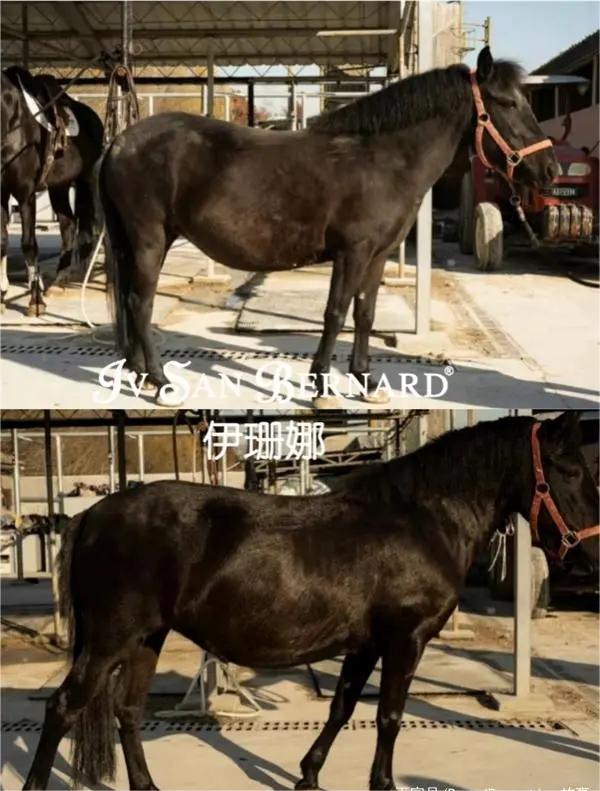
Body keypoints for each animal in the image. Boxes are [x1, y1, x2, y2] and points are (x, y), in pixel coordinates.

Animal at [1, 66, 104, 315]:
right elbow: (2, 241)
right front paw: (1, 297)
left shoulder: (25, 193)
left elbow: (29, 244)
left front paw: (35, 301)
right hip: (59, 186)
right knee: (68, 224)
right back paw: (60, 280)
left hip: (85, 180)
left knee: (83, 228)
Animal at [23, 411, 598, 790]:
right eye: (570, 471)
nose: (591, 554)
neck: (422, 520)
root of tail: (92, 515)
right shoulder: (404, 641)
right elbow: (389, 715)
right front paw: (381, 783)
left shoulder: (366, 645)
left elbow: (343, 707)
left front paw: (309, 776)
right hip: (109, 639)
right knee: (63, 708)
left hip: (147, 637)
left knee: (126, 710)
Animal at [98, 47, 558, 406]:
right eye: (508, 103)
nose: (550, 169)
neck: (384, 160)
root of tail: (120, 142)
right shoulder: (352, 252)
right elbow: (335, 313)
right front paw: (321, 388)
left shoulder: (377, 255)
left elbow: (365, 314)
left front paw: (366, 383)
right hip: (149, 239)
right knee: (140, 303)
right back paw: (161, 383)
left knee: (130, 301)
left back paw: (139, 374)